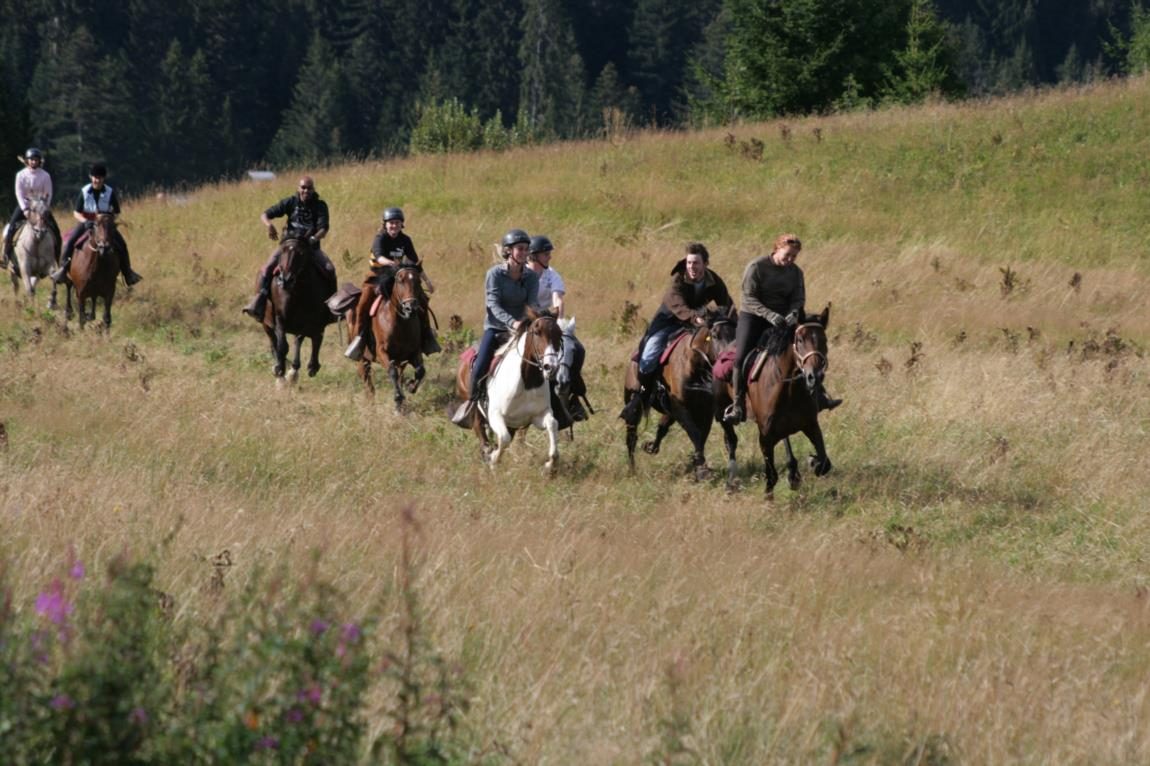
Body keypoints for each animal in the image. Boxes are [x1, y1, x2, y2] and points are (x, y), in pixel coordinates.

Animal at [256, 236, 335, 384]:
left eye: (301, 254)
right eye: (282, 252)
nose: (285, 280)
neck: (297, 293)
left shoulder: (310, 322)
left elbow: (311, 340)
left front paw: (309, 367)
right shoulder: (280, 318)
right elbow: (282, 346)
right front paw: (280, 370)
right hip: (266, 323)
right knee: (273, 342)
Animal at [347, 262, 430, 409]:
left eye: (418, 281)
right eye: (400, 280)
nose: (410, 307)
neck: (400, 324)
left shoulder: (413, 352)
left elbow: (420, 371)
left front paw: (410, 386)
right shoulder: (382, 352)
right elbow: (392, 372)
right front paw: (398, 398)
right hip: (362, 359)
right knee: (367, 380)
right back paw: (371, 403)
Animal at [450, 312, 563, 469]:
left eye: (559, 333)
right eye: (537, 332)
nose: (551, 367)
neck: (526, 383)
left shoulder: (537, 415)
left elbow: (553, 424)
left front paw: (550, 464)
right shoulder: (495, 414)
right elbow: (504, 438)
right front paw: (493, 459)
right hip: (474, 404)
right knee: (478, 426)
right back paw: (487, 451)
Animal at [621, 308, 736, 478]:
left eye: (735, 334)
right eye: (715, 335)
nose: (730, 365)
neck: (694, 366)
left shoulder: (706, 411)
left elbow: (701, 436)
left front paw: (699, 465)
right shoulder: (680, 408)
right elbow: (695, 434)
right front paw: (702, 469)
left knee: (662, 428)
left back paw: (651, 447)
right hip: (634, 405)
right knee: (631, 437)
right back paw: (632, 469)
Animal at [713, 303, 832, 494]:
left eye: (824, 340)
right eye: (799, 340)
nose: (815, 376)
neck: (789, 387)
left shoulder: (811, 425)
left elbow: (824, 464)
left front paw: (811, 462)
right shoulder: (765, 437)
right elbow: (771, 476)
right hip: (721, 411)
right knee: (731, 441)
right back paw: (731, 480)